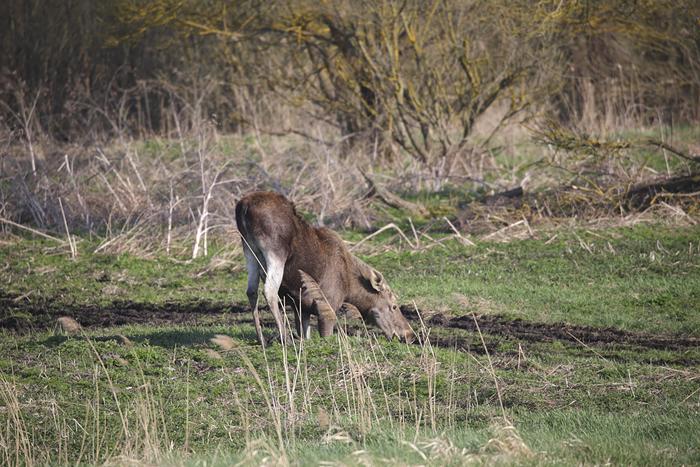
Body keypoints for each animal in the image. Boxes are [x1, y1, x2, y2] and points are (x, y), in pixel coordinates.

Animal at [234, 191, 416, 348]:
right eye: (394, 306)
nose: (410, 335)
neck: (349, 287)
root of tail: (243, 206)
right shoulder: (327, 309)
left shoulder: (302, 308)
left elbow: (305, 333)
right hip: (275, 252)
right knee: (269, 291)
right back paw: (285, 338)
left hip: (248, 249)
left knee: (251, 291)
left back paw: (261, 339)